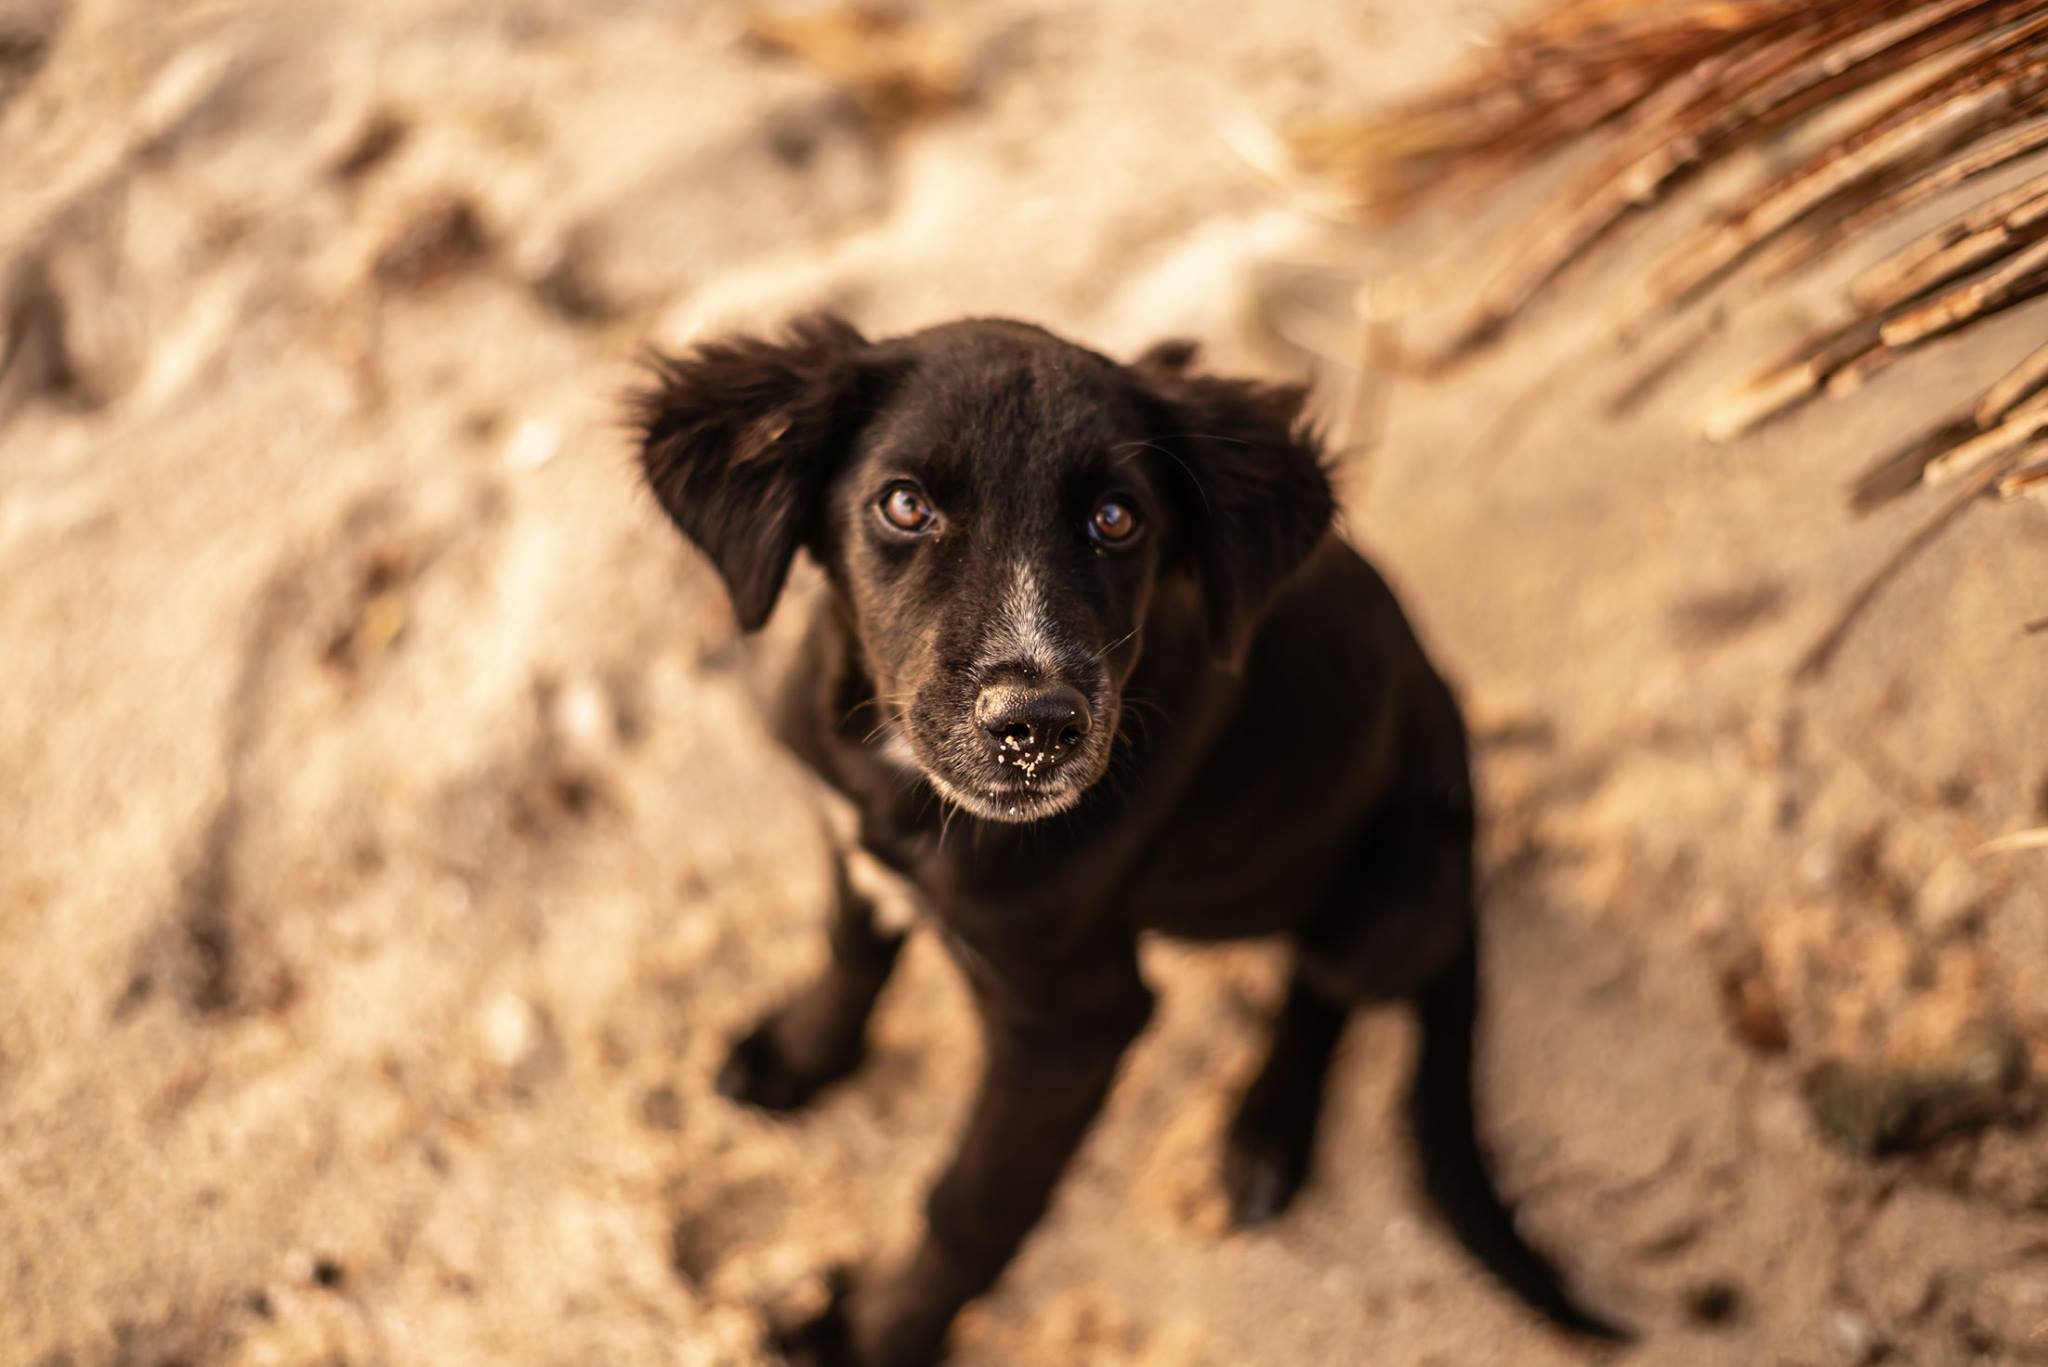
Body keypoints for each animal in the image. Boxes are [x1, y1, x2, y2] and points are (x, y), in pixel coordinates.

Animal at [630, 317, 1622, 1360]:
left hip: (1401, 878)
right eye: (904, 504)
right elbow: (851, 949)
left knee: (1323, 986)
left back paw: (1263, 1136)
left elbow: (971, 1201)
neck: (899, 779)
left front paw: (874, 1337)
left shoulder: (1072, 1020)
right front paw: (797, 1056)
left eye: (1117, 519)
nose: (1036, 727)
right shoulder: (847, 835)